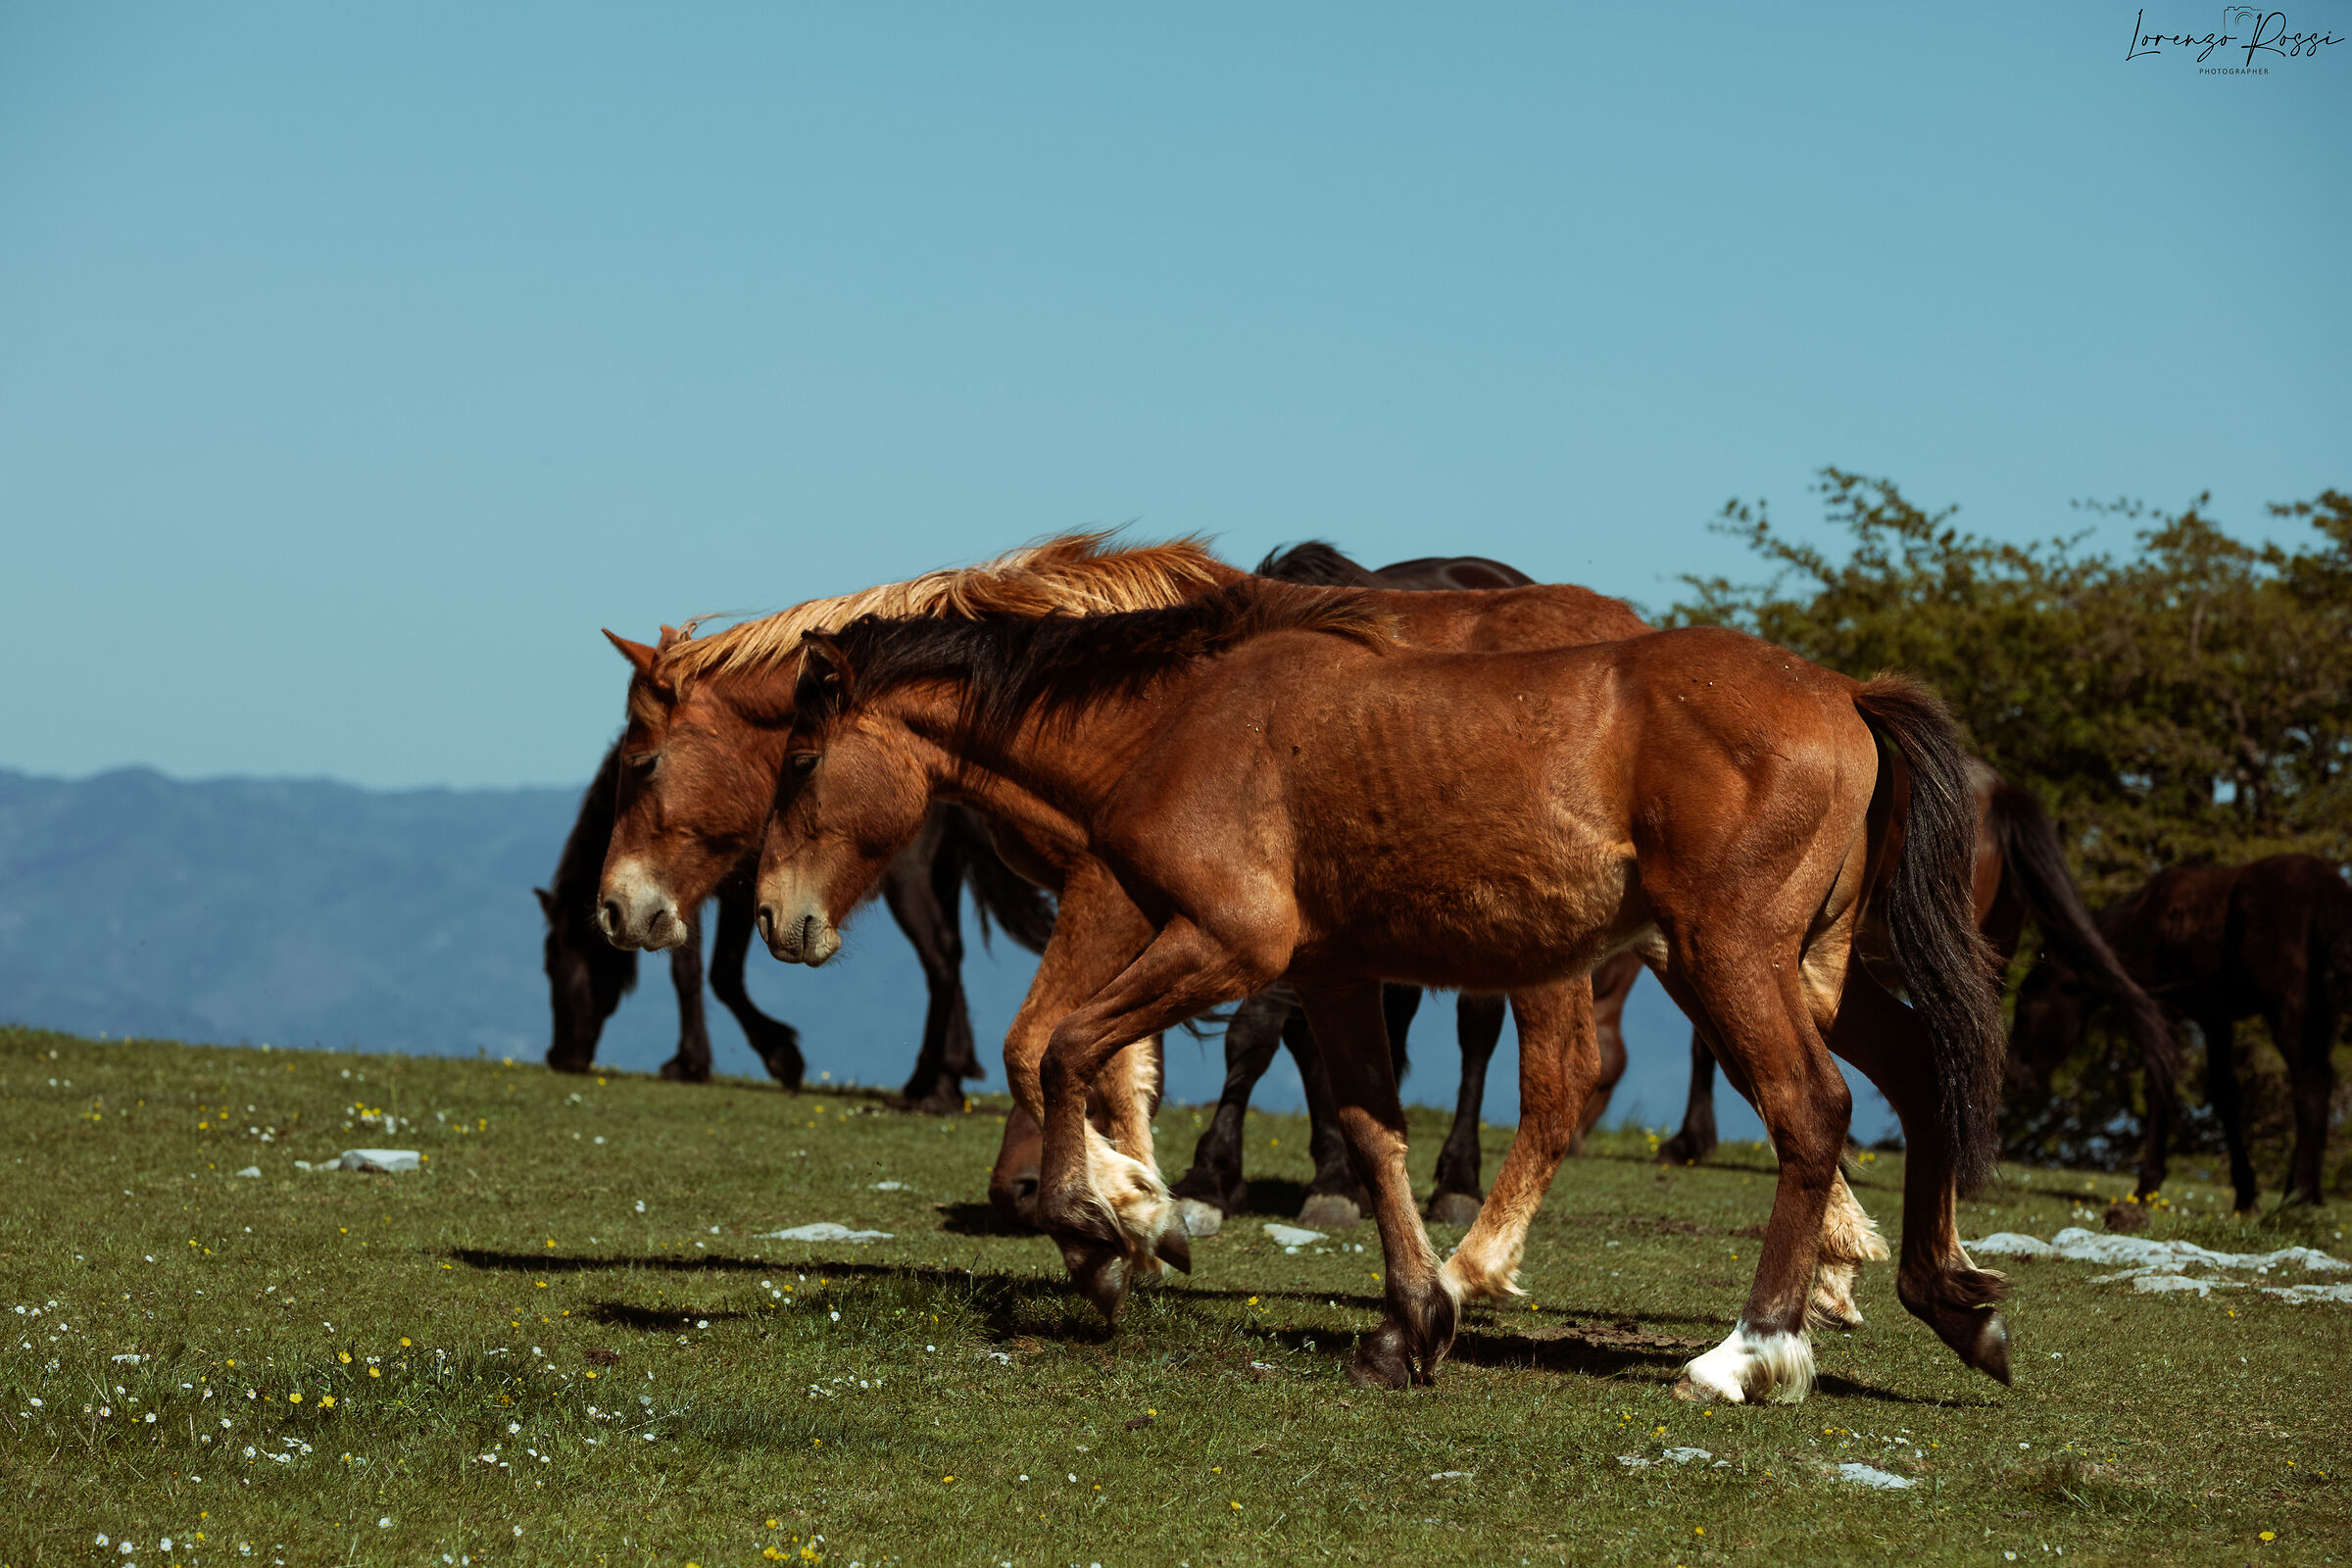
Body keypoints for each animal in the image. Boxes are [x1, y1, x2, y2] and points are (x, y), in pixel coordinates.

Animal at [542, 740, 1053, 1107]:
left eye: (554, 965)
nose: (560, 1056)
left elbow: (704, 973)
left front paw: (739, 1059)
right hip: (941, 877)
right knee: (952, 956)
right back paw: (949, 1073)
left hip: (908, 877)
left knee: (941, 958)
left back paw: (929, 1087)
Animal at [756, 579, 2013, 1404]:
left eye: (803, 763)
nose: (778, 918)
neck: (1184, 720)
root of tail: (1849, 694)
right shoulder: (1330, 970)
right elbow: (1368, 1130)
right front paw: (1409, 1323)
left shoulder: (1227, 943)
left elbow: (1062, 1049)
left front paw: (1110, 1230)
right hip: (1803, 970)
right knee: (1915, 1075)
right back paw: (1950, 1297)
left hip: (1729, 957)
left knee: (1809, 1110)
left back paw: (1748, 1351)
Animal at [2011, 853, 2349, 1210]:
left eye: (2026, 1010)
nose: (2013, 1073)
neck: (2141, 921)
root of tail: (2329, 889)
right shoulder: (2215, 1019)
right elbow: (2226, 1097)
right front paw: (2245, 1195)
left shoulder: (2162, 1011)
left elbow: (2159, 1084)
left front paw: (2147, 1186)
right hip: (2323, 1015)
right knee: (2320, 1083)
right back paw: (2301, 1194)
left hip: (2290, 1011)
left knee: (2310, 1085)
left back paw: (2301, 1194)